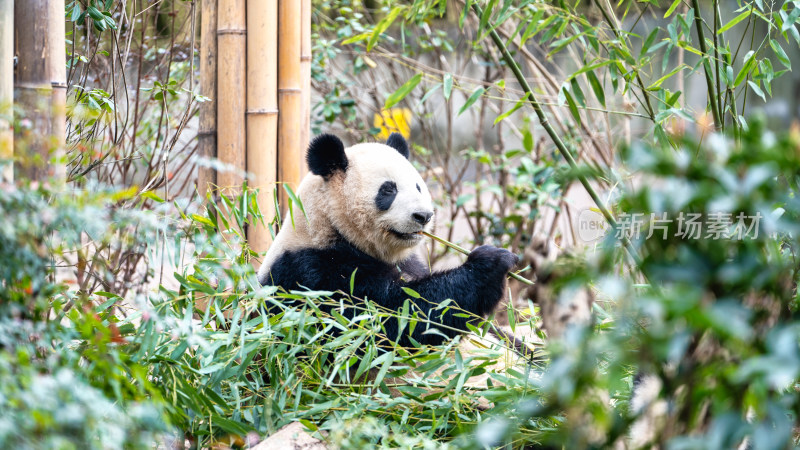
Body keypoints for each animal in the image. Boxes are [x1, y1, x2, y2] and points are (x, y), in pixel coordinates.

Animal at [256, 132, 520, 350]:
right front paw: (491, 263)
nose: (423, 216)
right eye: (388, 190)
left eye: (418, 186)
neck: (329, 225)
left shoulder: (409, 261)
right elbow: (396, 318)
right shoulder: (314, 273)